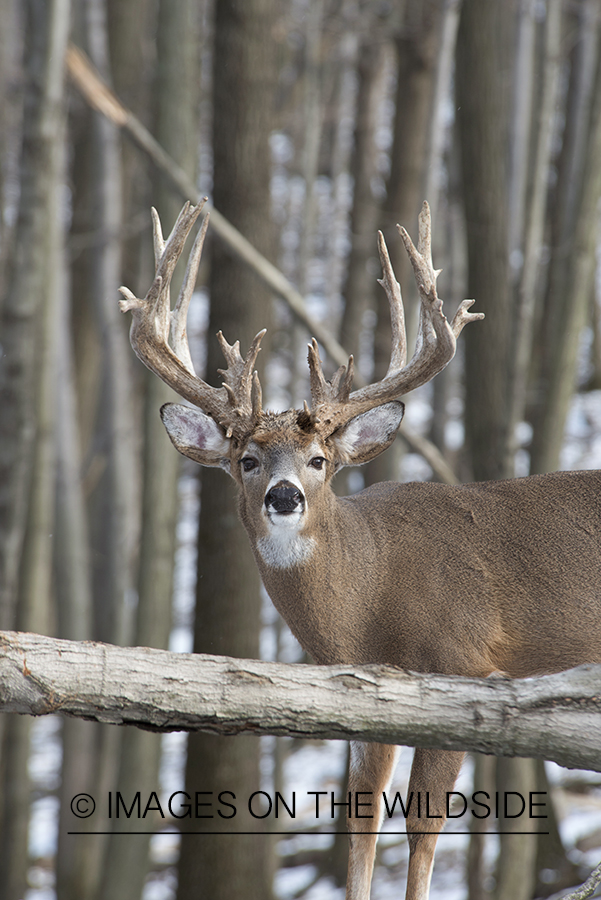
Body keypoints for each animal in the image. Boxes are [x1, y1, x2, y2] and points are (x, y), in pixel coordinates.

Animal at [118, 200, 600, 900]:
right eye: (247, 460)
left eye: (320, 460)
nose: (284, 495)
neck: (369, 604)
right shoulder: (362, 701)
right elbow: (361, 820)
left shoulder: (465, 668)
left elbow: (423, 829)